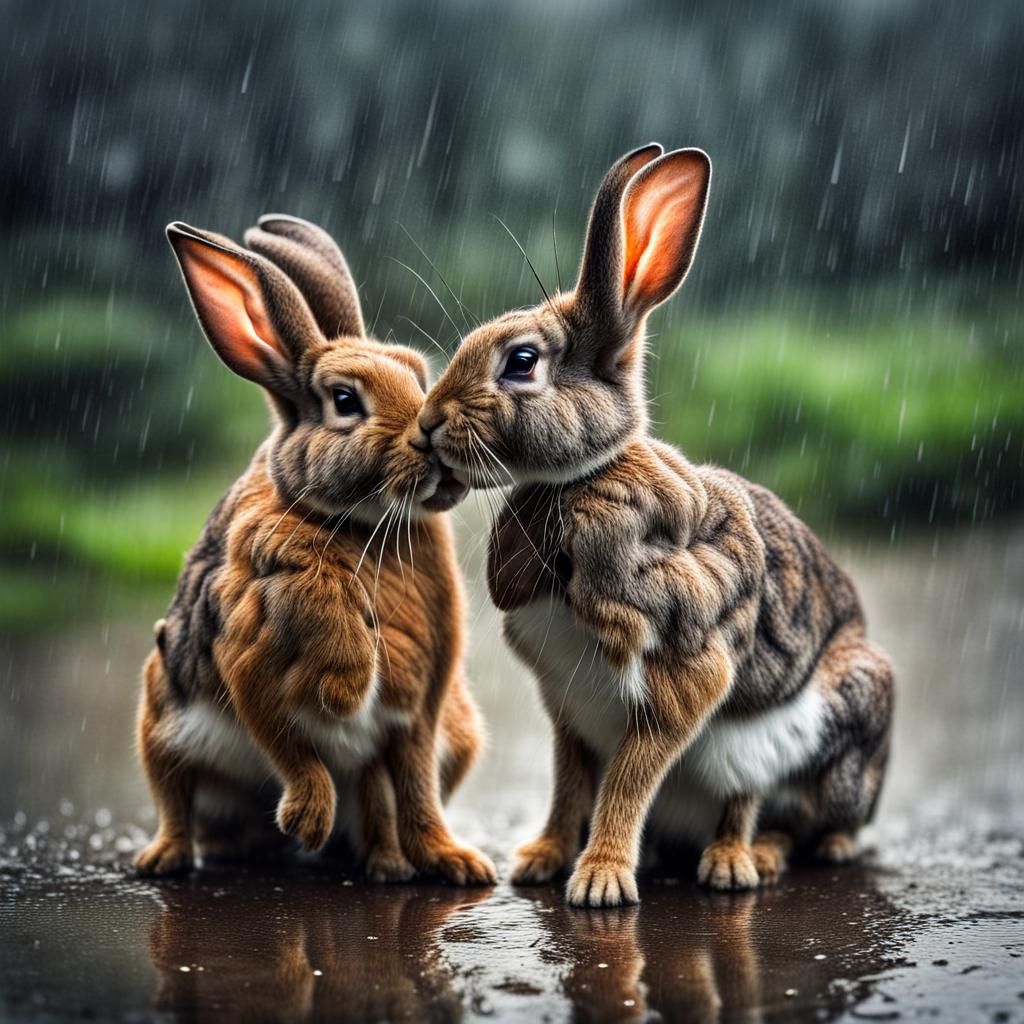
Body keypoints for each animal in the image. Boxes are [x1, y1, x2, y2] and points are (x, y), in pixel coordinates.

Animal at [133, 214, 495, 888]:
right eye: (346, 401)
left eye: (419, 377)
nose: (433, 441)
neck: (357, 525)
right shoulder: (247, 651)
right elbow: (287, 740)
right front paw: (307, 817)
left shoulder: (422, 704)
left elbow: (415, 785)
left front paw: (455, 862)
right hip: (161, 716)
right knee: (173, 796)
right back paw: (170, 858)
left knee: (381, 798)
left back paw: (386, 865)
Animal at [417, 143, 894, 906]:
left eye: (521, 361)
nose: (427, 423)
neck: (576, 486)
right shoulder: (569, 708)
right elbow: (571, 784)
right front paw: (542, 860)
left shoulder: (680, 675)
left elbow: (628, 780)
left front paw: (600, 882)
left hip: (820, 739)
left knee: (776, 813)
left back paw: (745, 862)